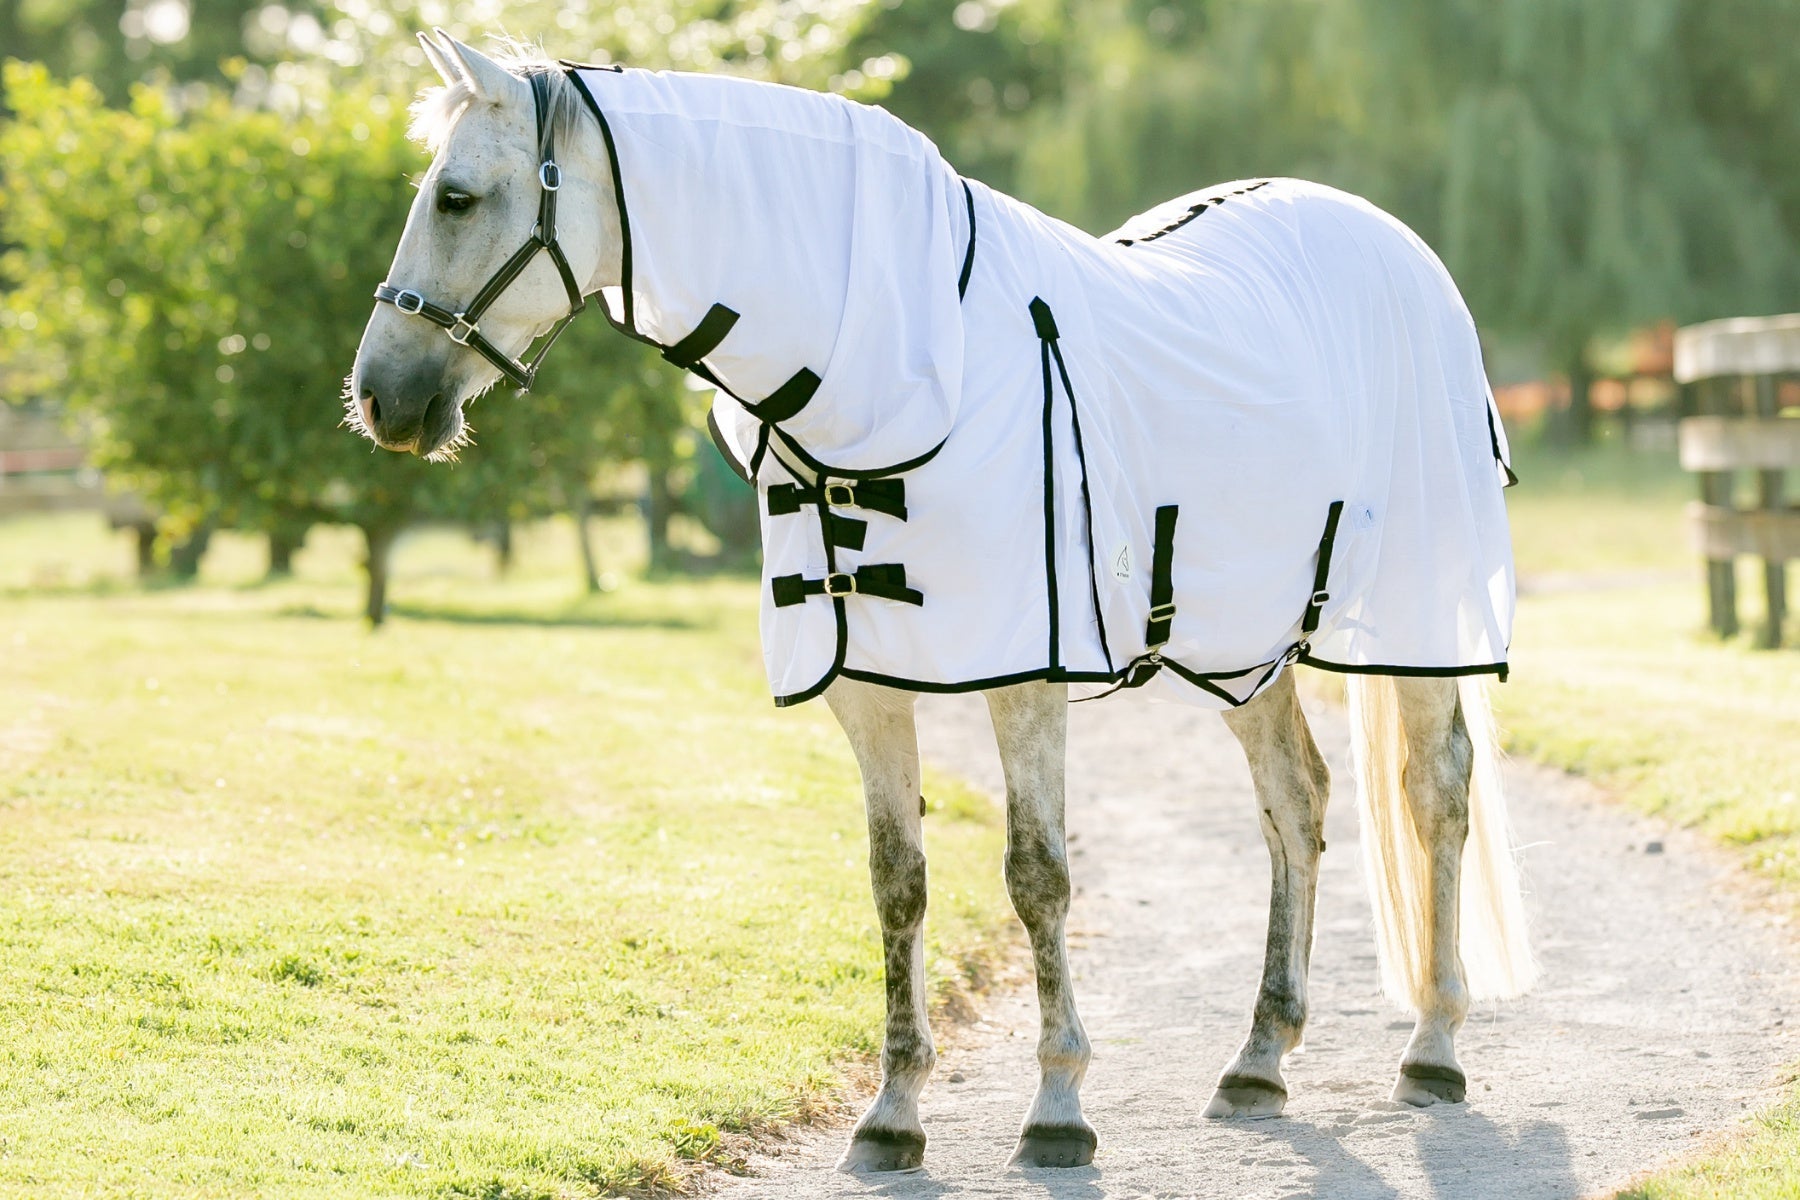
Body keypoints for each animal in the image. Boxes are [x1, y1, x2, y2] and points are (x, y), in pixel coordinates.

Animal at [349, 32, 1536, 1173]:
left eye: (457, 197)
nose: (380, 400)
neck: (904, 369)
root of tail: (1395, 245)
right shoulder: (865, 686)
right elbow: (899, 882)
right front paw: (892, 1116)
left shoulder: (1027, 674)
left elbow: (1037, 877)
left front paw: (1058, 1109)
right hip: (1240, 637)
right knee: (1295, 800)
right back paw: (1258, 1060)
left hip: (1413, 620)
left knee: (1435, 793)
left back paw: (1433, 1047)